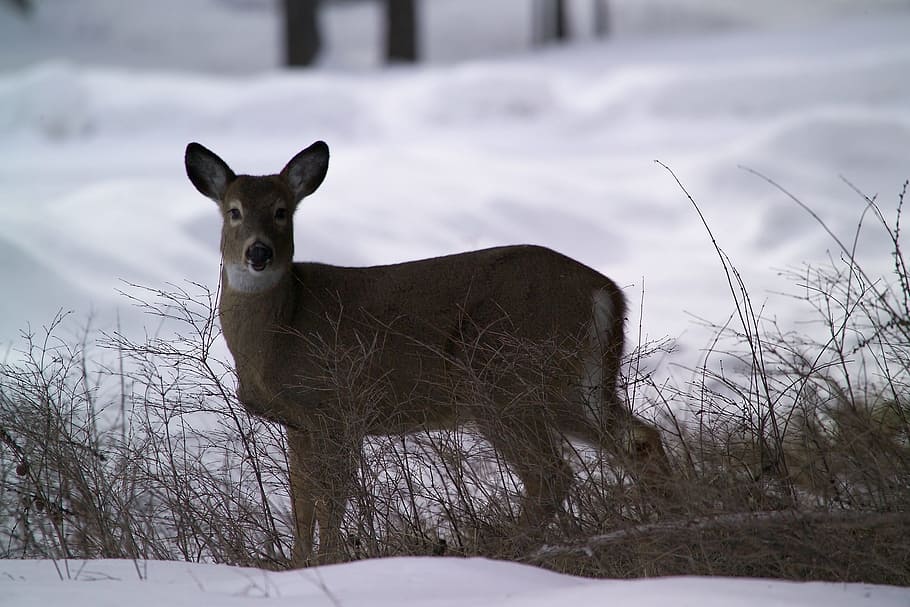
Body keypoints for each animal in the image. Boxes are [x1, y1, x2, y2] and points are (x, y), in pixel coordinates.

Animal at [184, 140, 671, 565]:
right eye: (234, 211)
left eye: (282, 211)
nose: (259, 252)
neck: (282, 328)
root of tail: (606, 292)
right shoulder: (299, 421)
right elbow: (302, 499)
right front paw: (297, 565)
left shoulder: (338, 407)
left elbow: (331, 498)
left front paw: (329, 562)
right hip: (572, 385)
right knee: (640, 438)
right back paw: (669, 516)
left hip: (501, 377)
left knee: (552, 474)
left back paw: (502, 549)